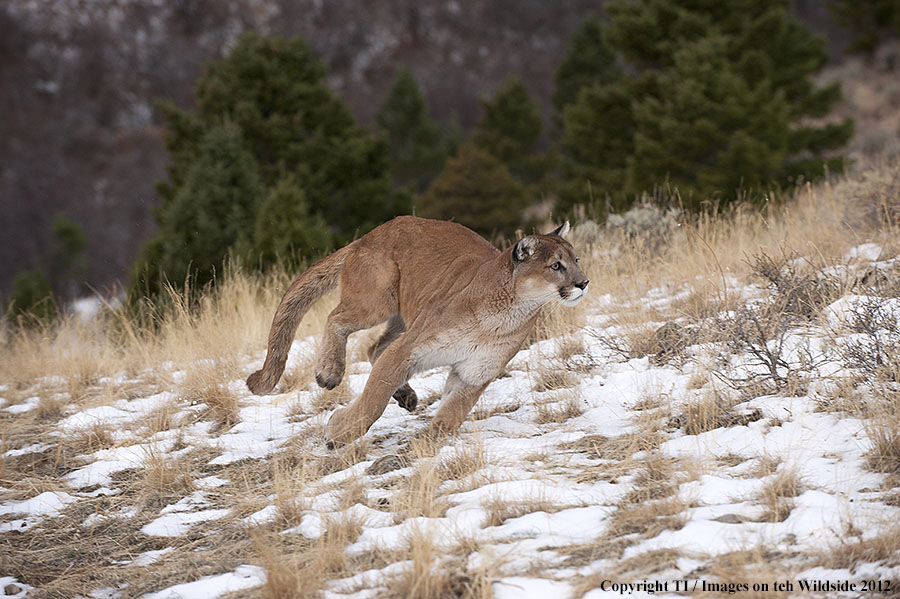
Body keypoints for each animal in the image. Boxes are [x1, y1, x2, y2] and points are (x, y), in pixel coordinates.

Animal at [246, 215, 589, 448]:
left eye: (576, 259)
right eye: (556, 266)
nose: (583, 282)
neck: (505, 313)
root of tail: (371, 233)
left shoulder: (475, 372)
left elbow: (452, 414)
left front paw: (429, 443)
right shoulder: (411, 348)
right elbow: (374, 398)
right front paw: (338, 433)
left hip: (403, 315)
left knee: (374, 347)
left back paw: (405, 394)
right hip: (379, 301)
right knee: (337, 319)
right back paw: (330, 371)